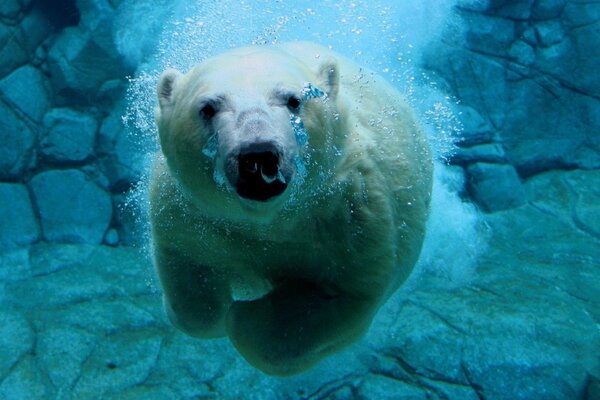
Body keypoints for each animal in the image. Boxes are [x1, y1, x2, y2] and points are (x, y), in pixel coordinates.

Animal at [150, 42, 432, 376]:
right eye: (207, 108)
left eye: (294, 100)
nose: (257, 155)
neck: (271, 219)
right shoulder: (192, 214)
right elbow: (190, 276)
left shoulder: (353, 218)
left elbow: (337, 298)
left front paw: (245, 316)